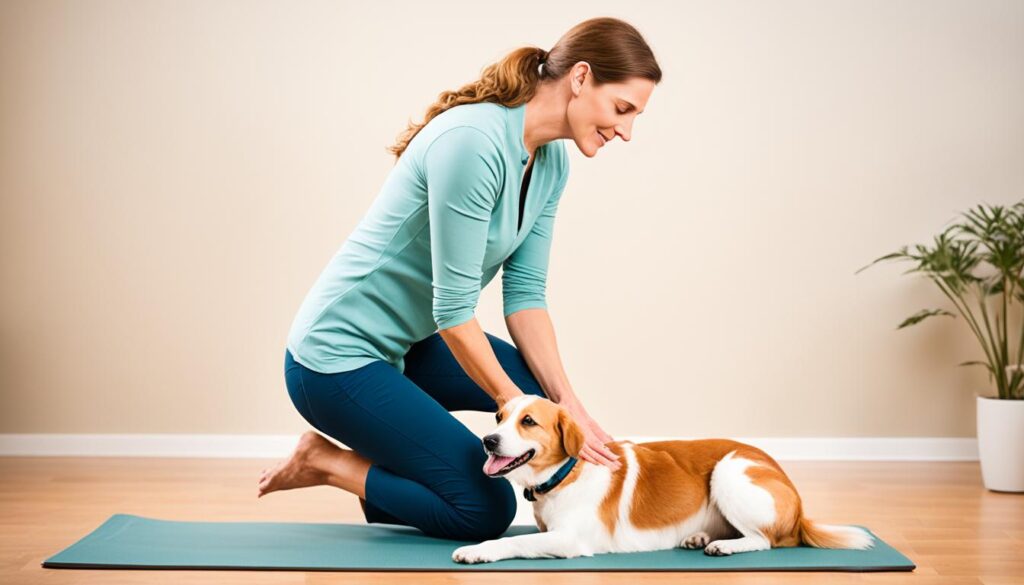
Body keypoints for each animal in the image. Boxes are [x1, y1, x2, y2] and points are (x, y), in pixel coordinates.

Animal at [452, 395, 876, 565]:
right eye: (499, 417)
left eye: (527, 421)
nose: (488, 441)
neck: (565, 473)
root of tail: (800, 508)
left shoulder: (570, 539)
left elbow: (516, 541)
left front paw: (478, 551)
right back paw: (700, 537)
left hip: (729, 471)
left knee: (765, 540)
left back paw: (725, 547)